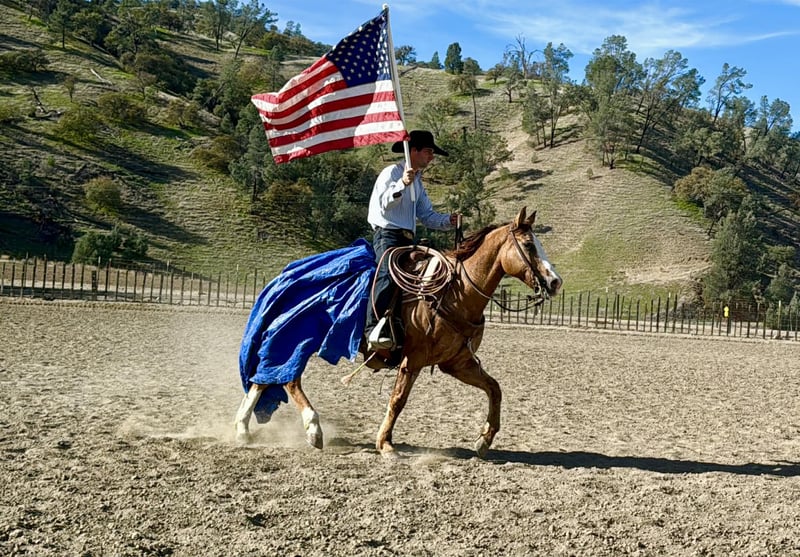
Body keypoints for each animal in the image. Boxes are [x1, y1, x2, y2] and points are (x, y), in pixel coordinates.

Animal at [234, 207, 562, 458]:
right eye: (529, 245)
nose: (555, 281)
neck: (455, 293)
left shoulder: (457, 363)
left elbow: (495, 388)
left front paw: (484, 440)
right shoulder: (413, 360)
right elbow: (398, 400)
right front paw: (385, 444)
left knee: (264, 378)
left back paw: (242, 430)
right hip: (300, 337)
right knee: (287, 377)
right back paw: (313, 430)